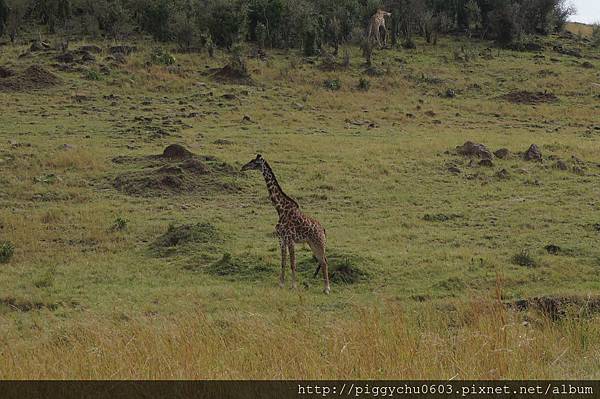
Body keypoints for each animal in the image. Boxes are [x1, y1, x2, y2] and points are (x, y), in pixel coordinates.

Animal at [240, 155, 332, 294]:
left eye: (254, 162)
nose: (243, 167)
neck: (280, 209)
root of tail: (324, 229)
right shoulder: (281, 239)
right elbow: (283, 262)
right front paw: (281, 284)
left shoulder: (290, 239)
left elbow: (293, 263)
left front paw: (293, 285)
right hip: (312, 243)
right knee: (323, 261)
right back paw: (324, 287)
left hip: (319, 243)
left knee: (325, 262)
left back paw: (327, 289)